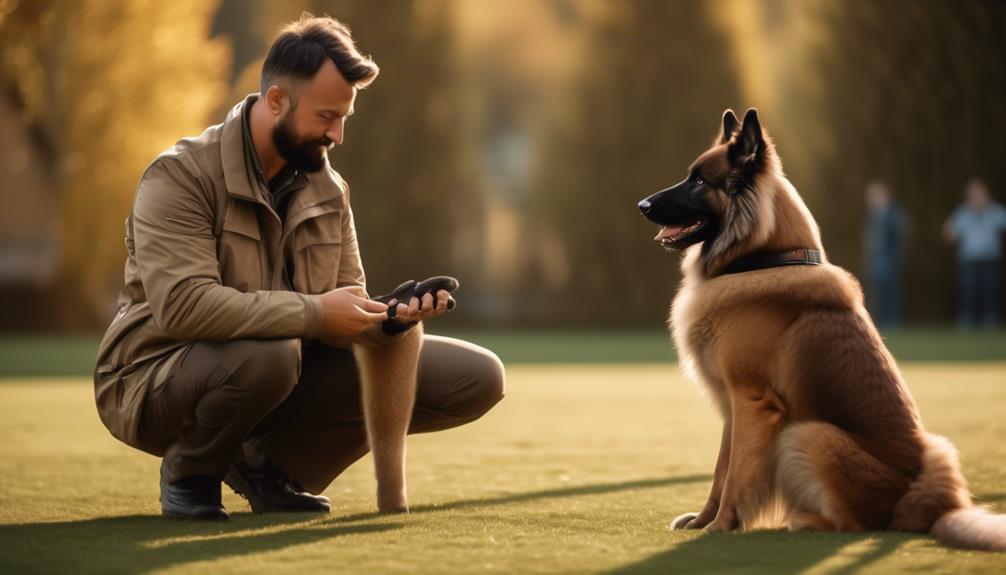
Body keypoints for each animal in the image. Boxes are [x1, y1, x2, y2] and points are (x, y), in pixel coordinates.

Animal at [639, 109, 1001, 550]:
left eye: (700, 181)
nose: (642, 205)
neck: (765, 259)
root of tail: (928, 506)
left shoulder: (752, 403)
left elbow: (737, 477)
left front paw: (720, 527)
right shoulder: (732, 408)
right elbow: (720, 474)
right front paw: (702, 519)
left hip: (807, 434)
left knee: (854, 523)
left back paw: (804, 520)